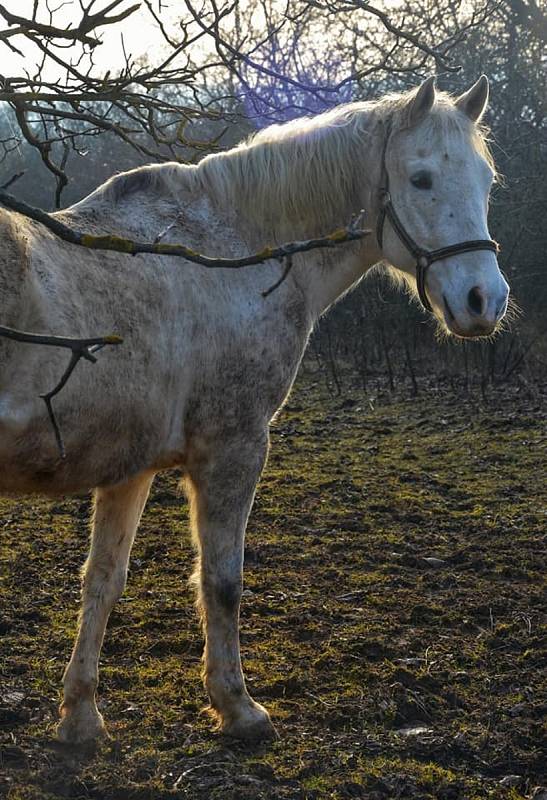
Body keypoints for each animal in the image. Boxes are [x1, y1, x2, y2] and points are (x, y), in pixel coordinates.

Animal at [0, 76, 510, 744]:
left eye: (485, 180)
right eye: (421, 178)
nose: (484, 300)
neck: (237, 255)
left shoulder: (129, 466)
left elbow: (103, 581)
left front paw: (81, 717)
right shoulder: (234, 446)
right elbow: (222, 582)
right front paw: (237, 707)